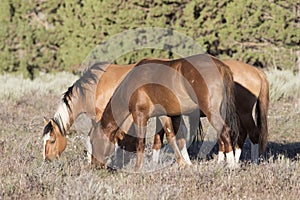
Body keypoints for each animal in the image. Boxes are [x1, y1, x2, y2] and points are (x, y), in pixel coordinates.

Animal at [90, 54, 240, 171]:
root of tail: (221, 66)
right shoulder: (164, 115)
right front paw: (184, 164)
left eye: (92, 140)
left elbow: (141, 142)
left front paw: (138, 168)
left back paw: (231, 164)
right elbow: (174, 137)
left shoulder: (140, 115)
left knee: (225, 131)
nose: (94, 165)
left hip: (212, 112)